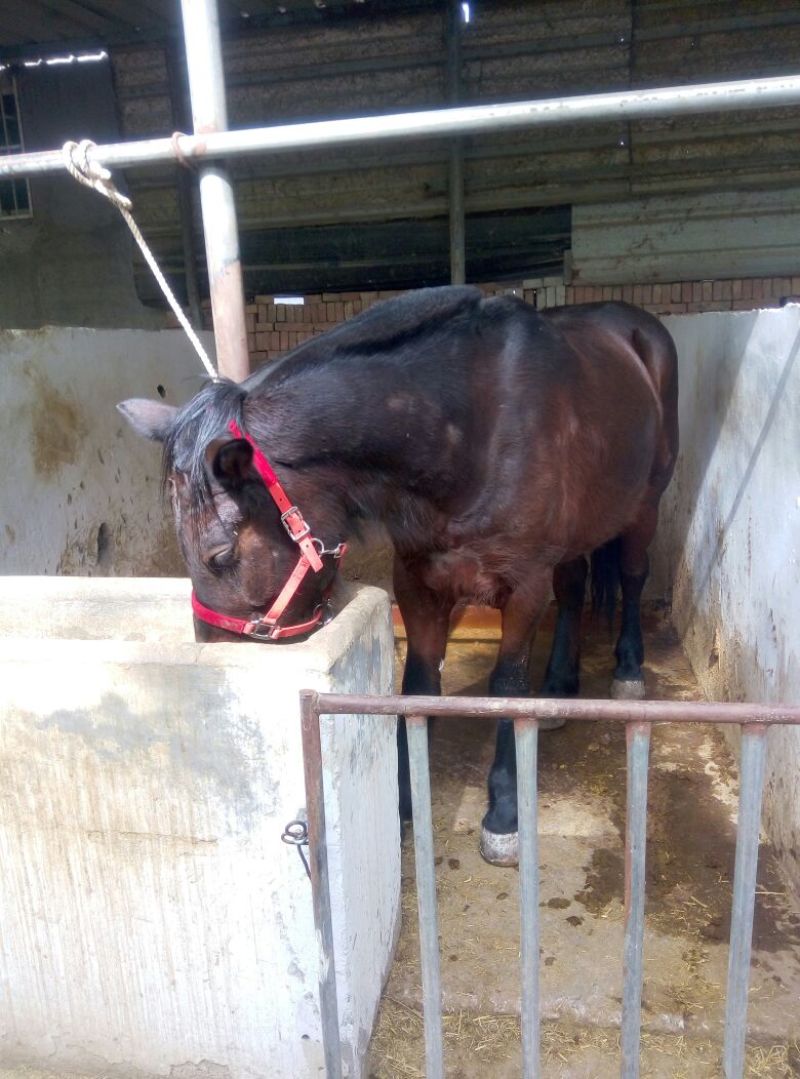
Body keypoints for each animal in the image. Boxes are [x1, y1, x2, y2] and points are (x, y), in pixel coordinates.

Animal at [118, 285, 678, 866]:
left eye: (221, 554)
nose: (213, 656)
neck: (470, 430)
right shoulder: (417, 581)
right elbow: (416, 689)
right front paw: (404, 798)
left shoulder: (523, 587)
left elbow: (506, 686)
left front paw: (504, 813)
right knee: (572, 588)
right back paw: (559, 688)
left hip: (646, 503)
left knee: (632, 575)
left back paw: (627, 670)